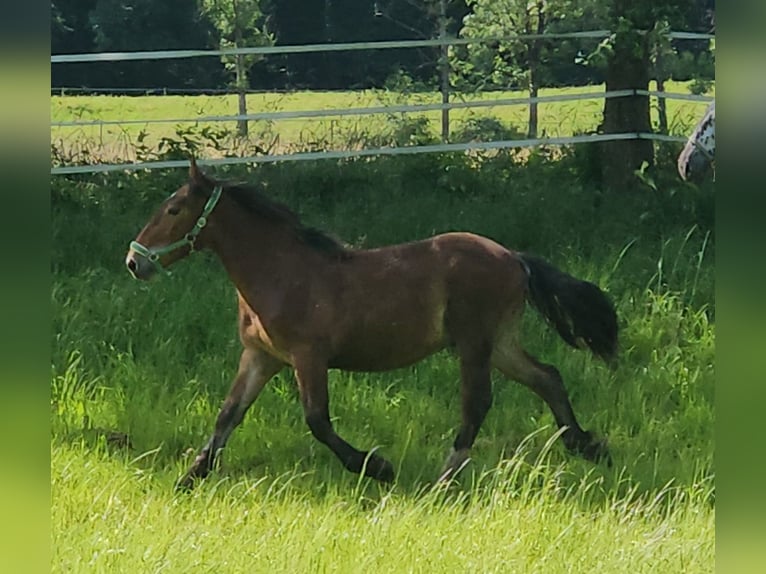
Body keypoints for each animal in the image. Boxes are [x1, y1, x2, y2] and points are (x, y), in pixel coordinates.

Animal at [126, 160, 616, 492]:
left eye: (174, 210)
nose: (134, 262)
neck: (282, 273)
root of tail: (515, 258)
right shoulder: (261, 356)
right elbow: (228, 415)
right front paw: (189, 478)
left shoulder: (309, 357)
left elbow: (317, 420)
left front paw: (377, 468)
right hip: (499, 343)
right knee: (547, 377)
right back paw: (587, 446)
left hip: (474, 343)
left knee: (478, 403)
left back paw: (443, 478)